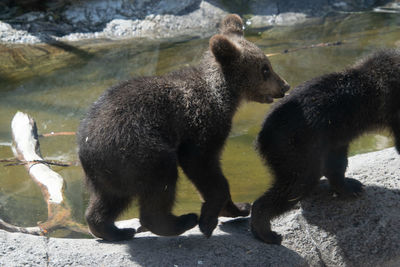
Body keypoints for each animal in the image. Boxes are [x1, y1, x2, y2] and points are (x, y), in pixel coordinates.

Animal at [79, 13, 290, 242]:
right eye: (265, 68)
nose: (285, 85)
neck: (223, 94)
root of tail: (87, 149)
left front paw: (239, 207)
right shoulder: (203, 123)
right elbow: (201, 163)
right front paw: (209, 219)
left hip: (111, 172)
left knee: (110, 199)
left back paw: (114, 230)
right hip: (139, 149)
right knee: (160, 183)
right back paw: (182, 220)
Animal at [253, 49, 400, 246]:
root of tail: (261, 137)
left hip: (327, 136)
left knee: (332, 164)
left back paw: (350, 186)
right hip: (296, 146)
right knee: (298, 183)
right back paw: (266, 231)